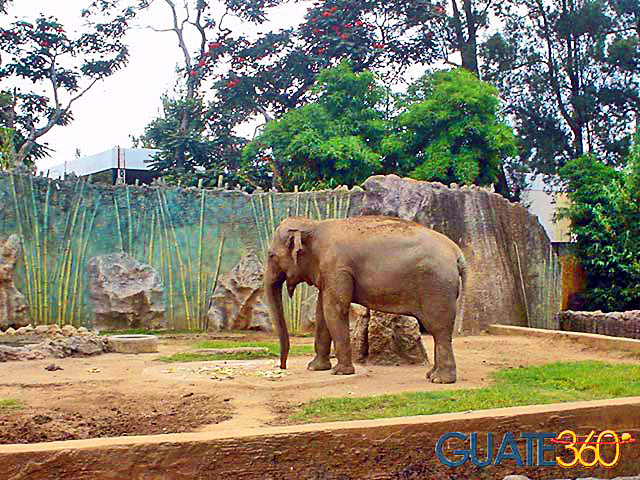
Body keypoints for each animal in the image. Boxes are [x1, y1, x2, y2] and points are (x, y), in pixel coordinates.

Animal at [263, 215, 467, 383]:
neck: (313, 225)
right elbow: (321, 312)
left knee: (439, 329)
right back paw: (431, 375)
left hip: (436, 286)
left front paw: (340, 372)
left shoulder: (337, 267)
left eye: (270, 255)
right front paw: (315, 368)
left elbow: (334, 310)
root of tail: (457, 254)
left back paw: (440, 380)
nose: (282, 367)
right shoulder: (328, 272)